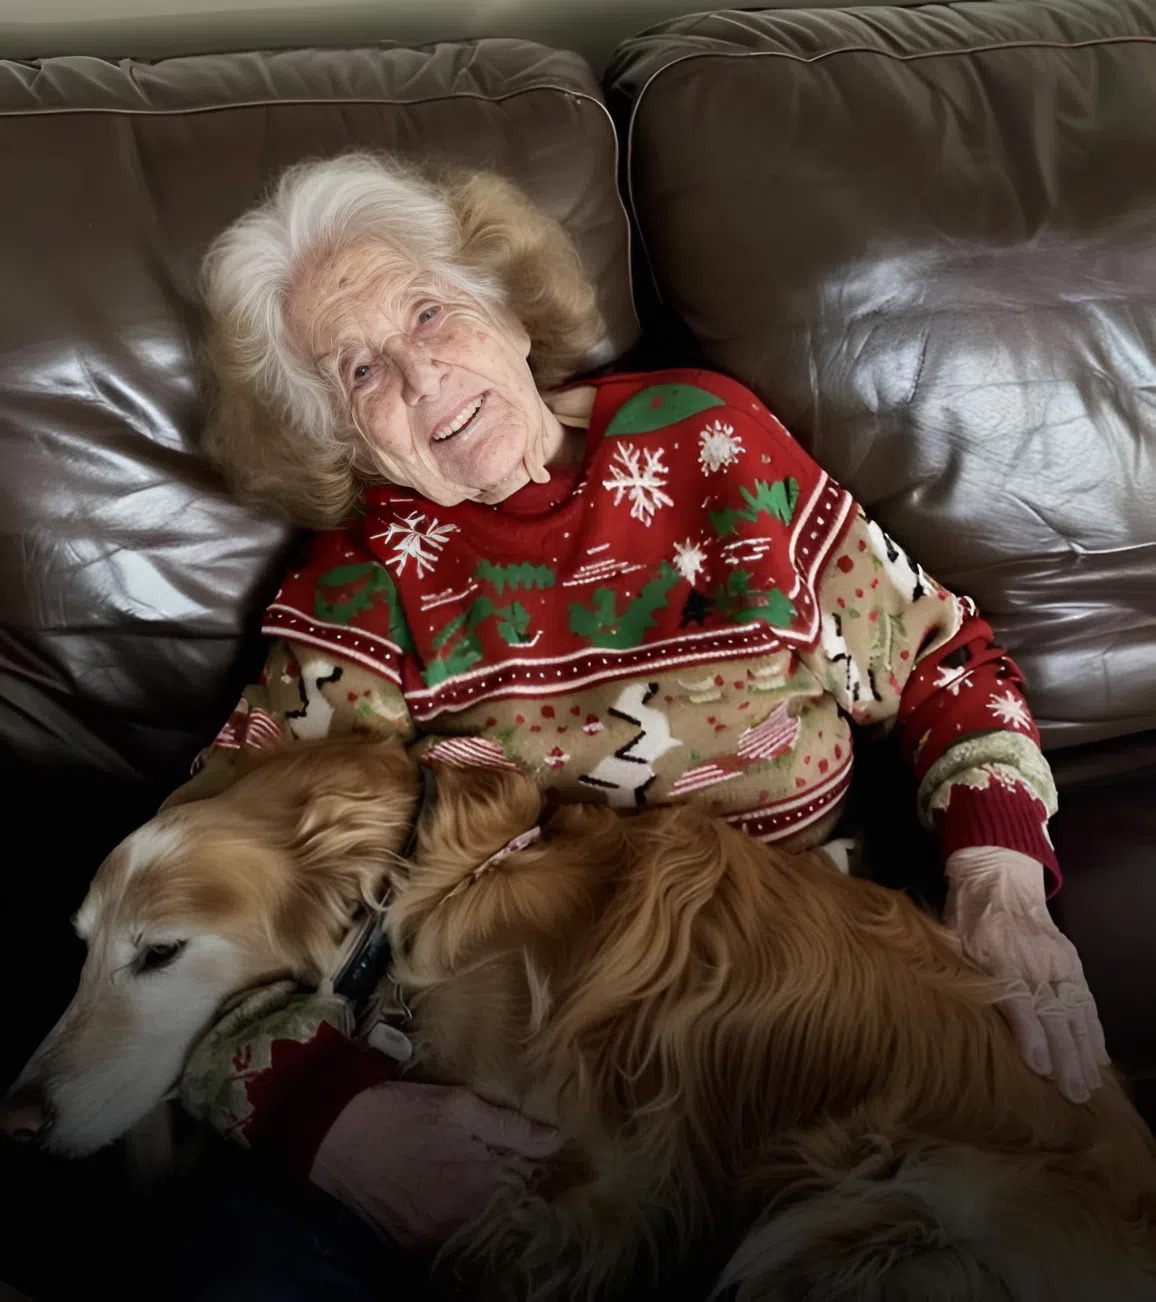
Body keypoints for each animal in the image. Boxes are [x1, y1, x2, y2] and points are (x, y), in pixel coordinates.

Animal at [4, 739, 1155, 1301]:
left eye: (159, 954)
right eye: (83, 946)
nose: (15, 1120)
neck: (440, 886)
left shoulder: (603, 1182)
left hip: (865, 1215)